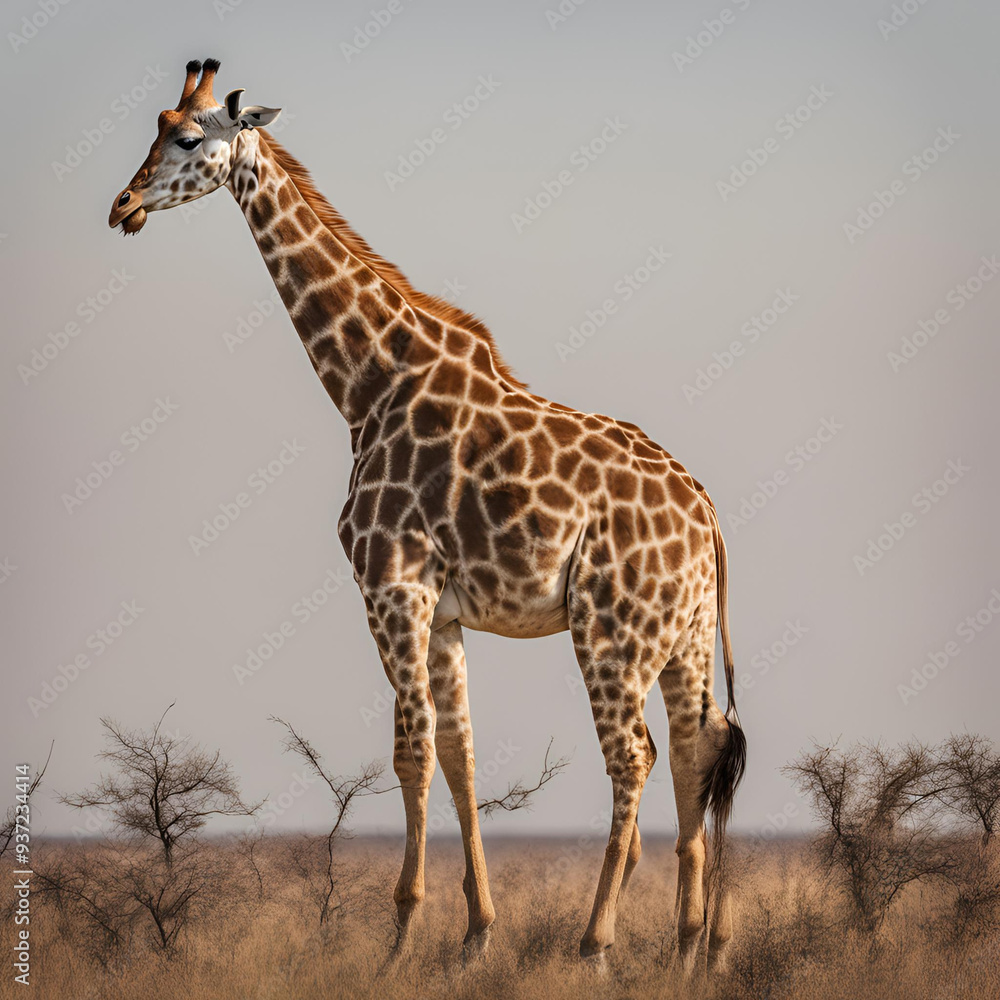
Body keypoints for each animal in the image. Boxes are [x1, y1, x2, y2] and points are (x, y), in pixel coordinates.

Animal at [108, 59, 746, 972]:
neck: (365, 385)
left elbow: (409, 755)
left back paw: (596, 942)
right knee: (698, 749)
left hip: (611, 629)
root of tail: (710, 522)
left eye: (190, 138)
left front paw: (401, 936)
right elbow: (459, 756)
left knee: (635, 756)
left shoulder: (390, 586)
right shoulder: (442, 610)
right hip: (681, 635)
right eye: (156, 128)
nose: (121, 206)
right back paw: (691, 946)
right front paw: (476, 934)